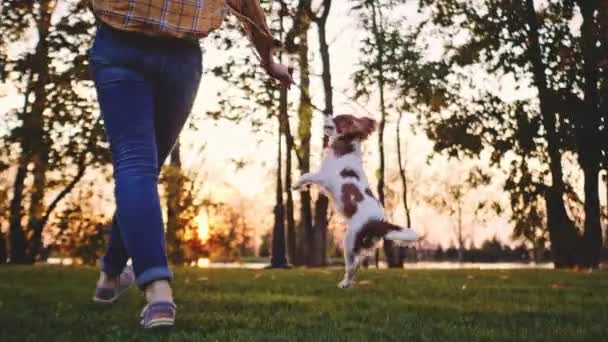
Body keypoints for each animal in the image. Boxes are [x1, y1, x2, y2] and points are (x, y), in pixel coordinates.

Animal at [290, 113, 416, 288]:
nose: (326, 113)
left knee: (352, 265)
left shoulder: (324, 177)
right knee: (358, 262)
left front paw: (295, 185)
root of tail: (378, 222)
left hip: (349, 239)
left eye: (337, 119)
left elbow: (306, 175)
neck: (346, 147)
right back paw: (346, 283)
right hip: (362, 242)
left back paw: (344, 284)